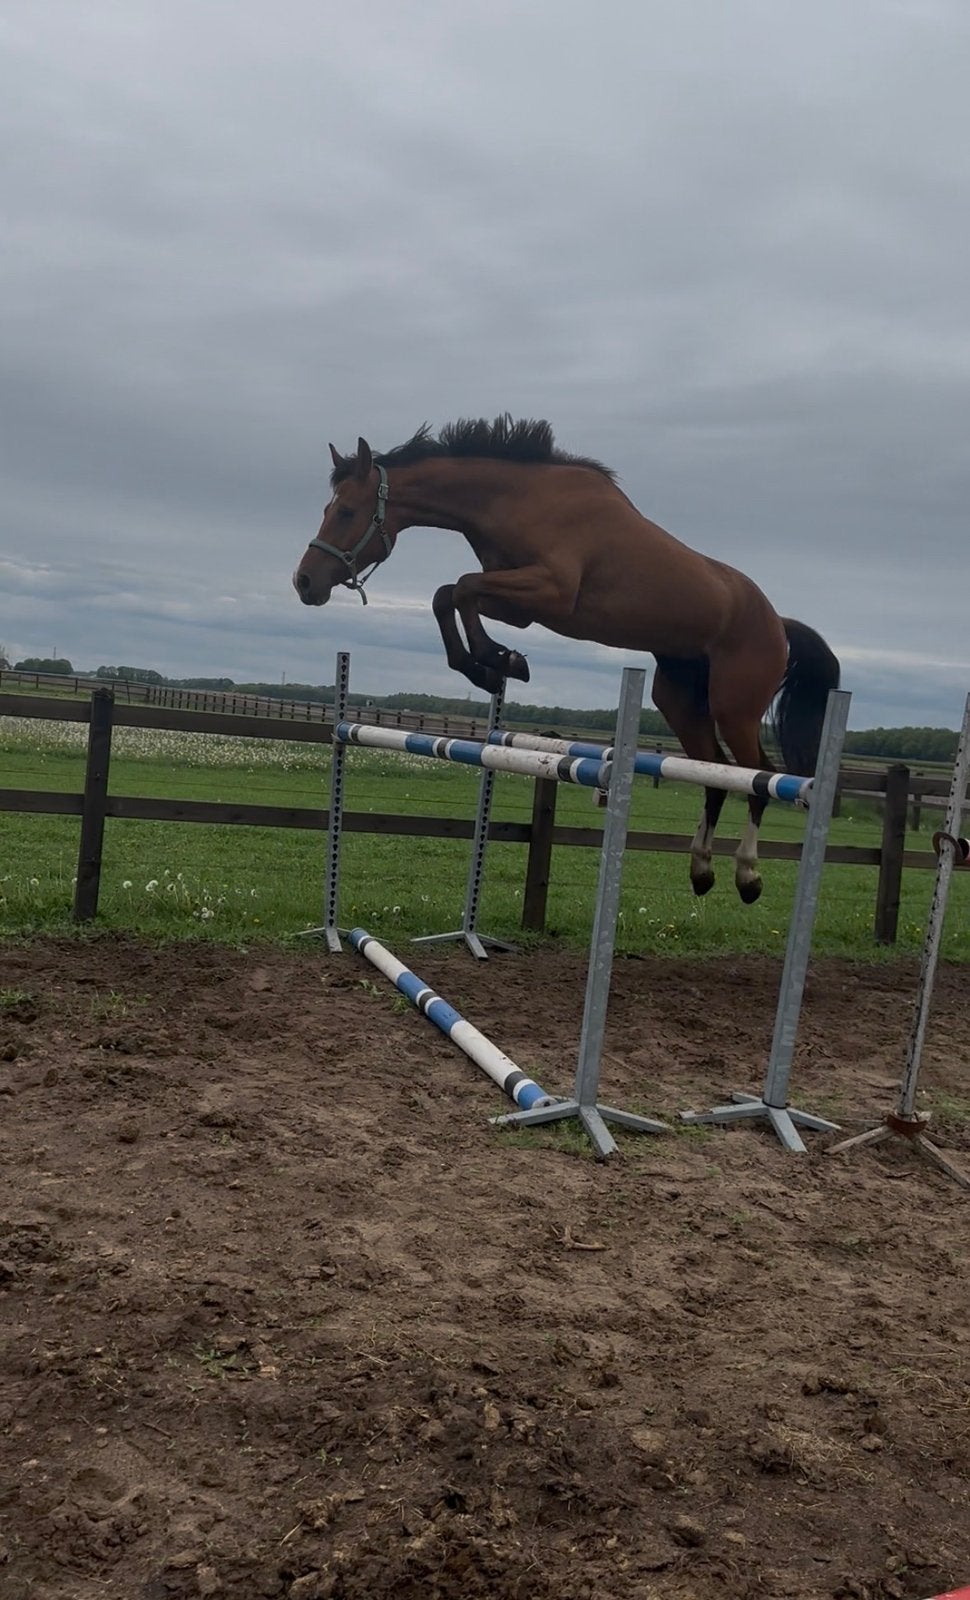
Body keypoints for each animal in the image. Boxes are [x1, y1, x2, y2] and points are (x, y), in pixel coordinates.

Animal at [294, 415, 840, 904]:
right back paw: (701, 870)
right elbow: (448, 594)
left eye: (346, 512)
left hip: (734, 707)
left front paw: (497, 662)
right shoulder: (519, 605)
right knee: (715, 776)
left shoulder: (549, 593)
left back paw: (747, 876)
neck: (517, 498)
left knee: (757, 778)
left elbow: (461, 588)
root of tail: (777, 623)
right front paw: (491, 665)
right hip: (680, 700)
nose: (304, 583)